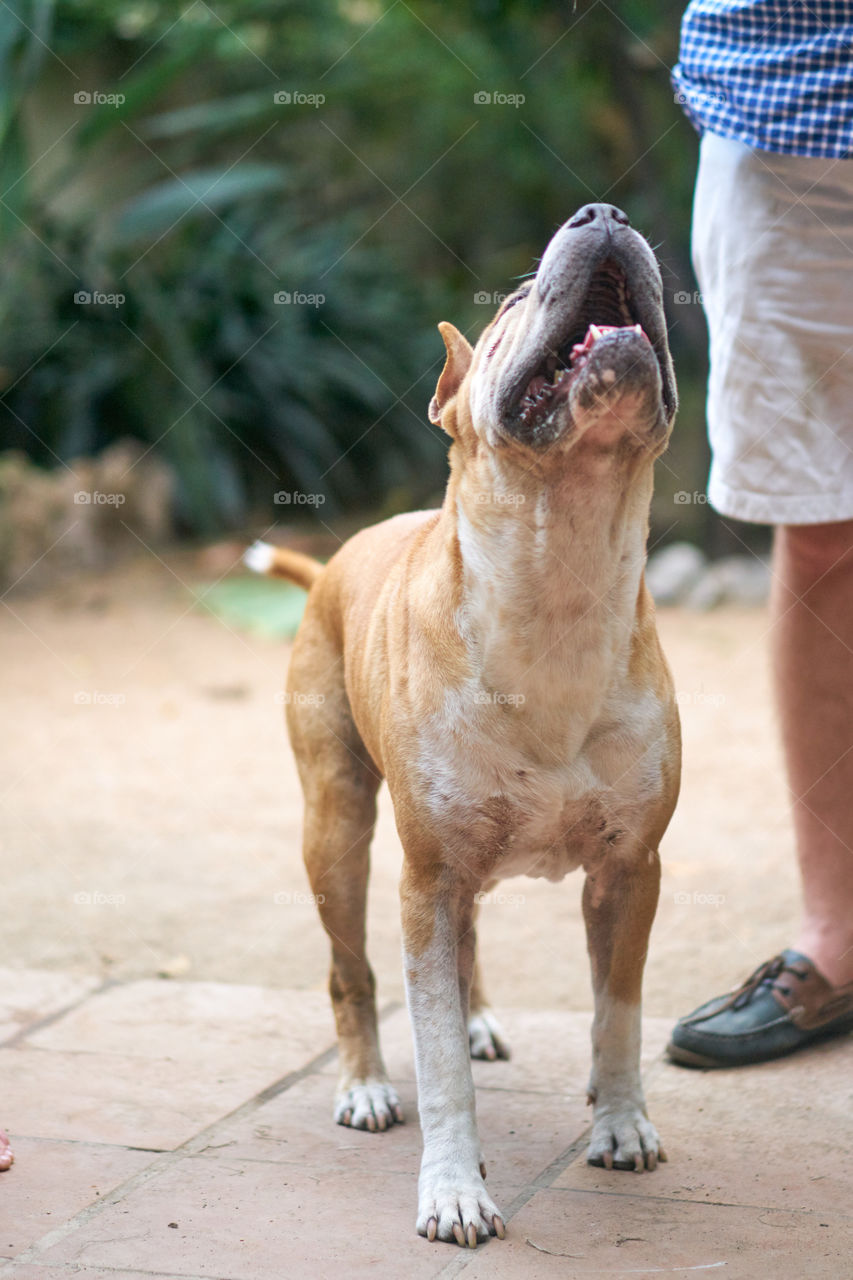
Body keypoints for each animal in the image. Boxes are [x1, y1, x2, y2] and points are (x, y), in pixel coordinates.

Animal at [244, 202, 676, 1249]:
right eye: (511, 307)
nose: (603, 212)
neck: (559, 583)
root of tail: (331, 564)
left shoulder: (629, 872)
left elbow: (617, 1012)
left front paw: (619, 1122)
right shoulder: (426, 879)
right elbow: (435, 1062)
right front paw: (451, 1190)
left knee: (465, 950)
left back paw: (477, 1019)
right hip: (339, 831)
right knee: (351, 971)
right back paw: (363, 1084)